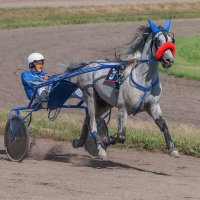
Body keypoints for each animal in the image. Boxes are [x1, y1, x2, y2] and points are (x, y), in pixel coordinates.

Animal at [68, 19, 178, 160]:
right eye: (158, 41)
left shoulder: (153, 106)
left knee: (88, 120)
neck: (143, 80)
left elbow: (164, 126)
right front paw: (105, 140)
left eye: (171, 40)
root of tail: (88, 65)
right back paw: (100, 149)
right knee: (92, 124)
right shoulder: (123, 108)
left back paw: (79, 142)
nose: (169, 60)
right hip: (90, 96)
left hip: (104, 103)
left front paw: (173, 149)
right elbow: (121, 137)